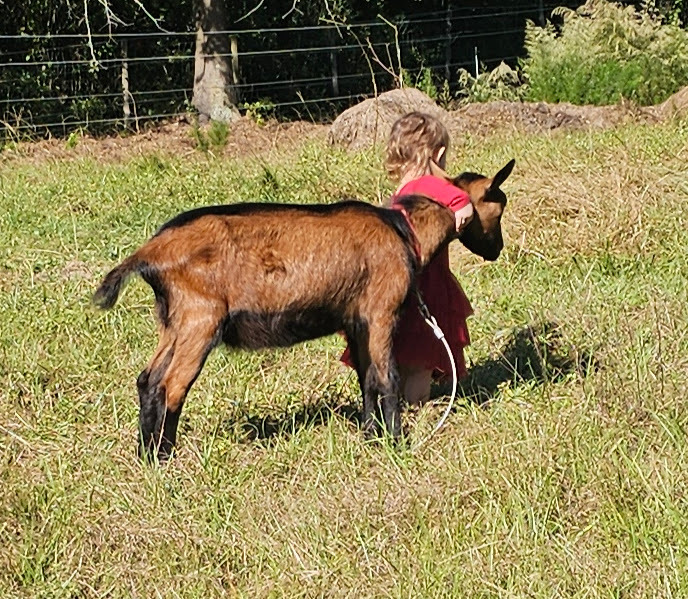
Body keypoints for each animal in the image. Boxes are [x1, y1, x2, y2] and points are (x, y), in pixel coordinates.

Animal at [93, 159, 515, 461]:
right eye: (498, 206)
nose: (496, 250)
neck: (403, 229)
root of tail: (151, 252)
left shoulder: (356, 320)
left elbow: (366, 378)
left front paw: (370, 436)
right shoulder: (381, 311)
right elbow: (387, 378)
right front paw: (396, 444)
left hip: (173, 320)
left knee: (147, 379)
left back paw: (145, 456)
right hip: (200, 318)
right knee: (172, 385)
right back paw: (164, 459)